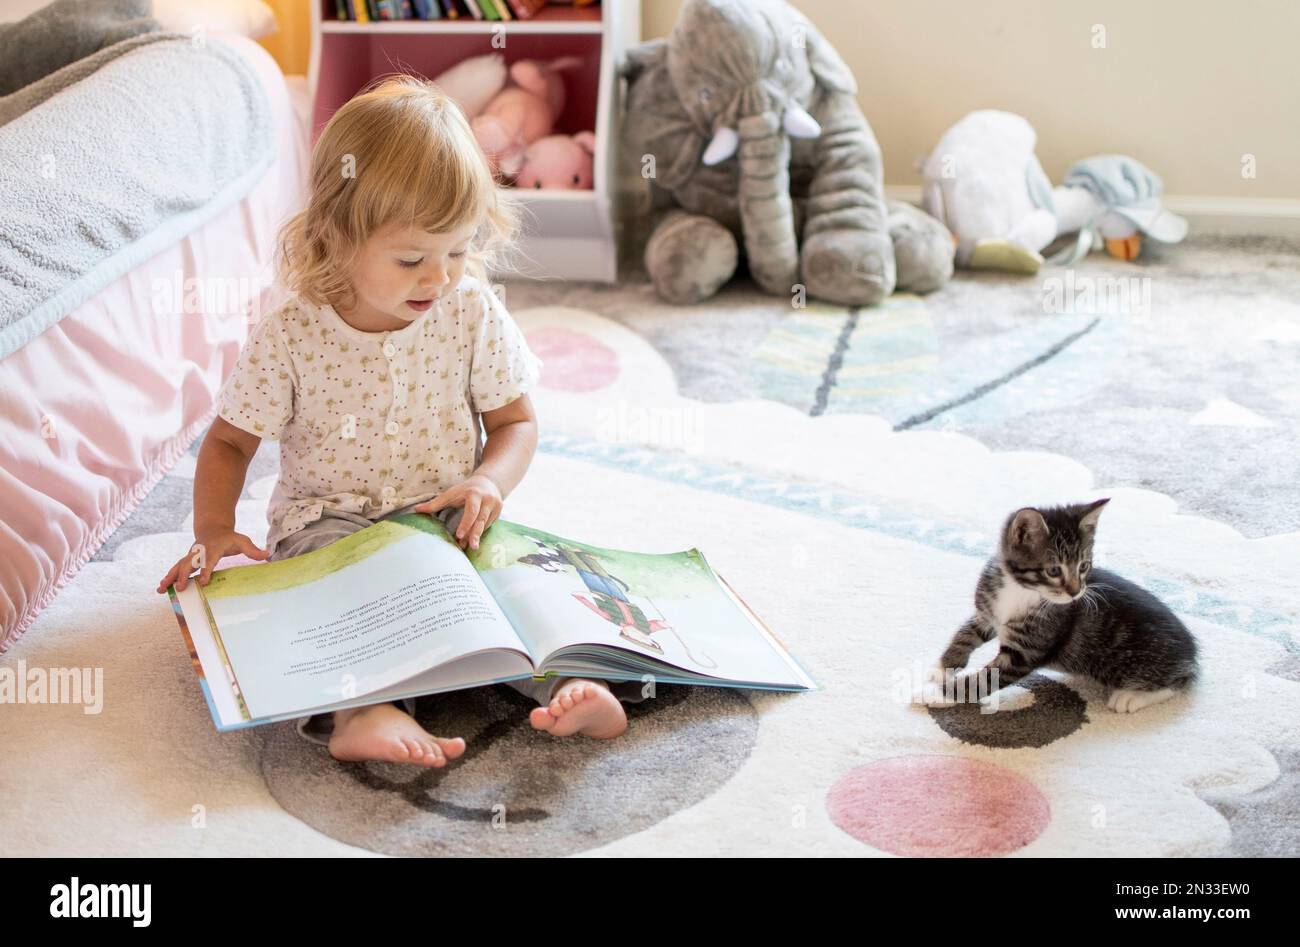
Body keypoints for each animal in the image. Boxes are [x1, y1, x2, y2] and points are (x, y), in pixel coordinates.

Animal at [935, 499, 1196, 712]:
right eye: (1053, 571)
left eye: (1083, 566)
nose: (1075, 591)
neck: (1021, 589)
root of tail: (1191, 652)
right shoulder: (987, 612)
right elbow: (965, 634)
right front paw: (941, 670)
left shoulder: (1025, 651)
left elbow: (984, 679)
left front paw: (939, 695)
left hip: (1127, 662)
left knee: (1180, 682)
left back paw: (1132, 696)